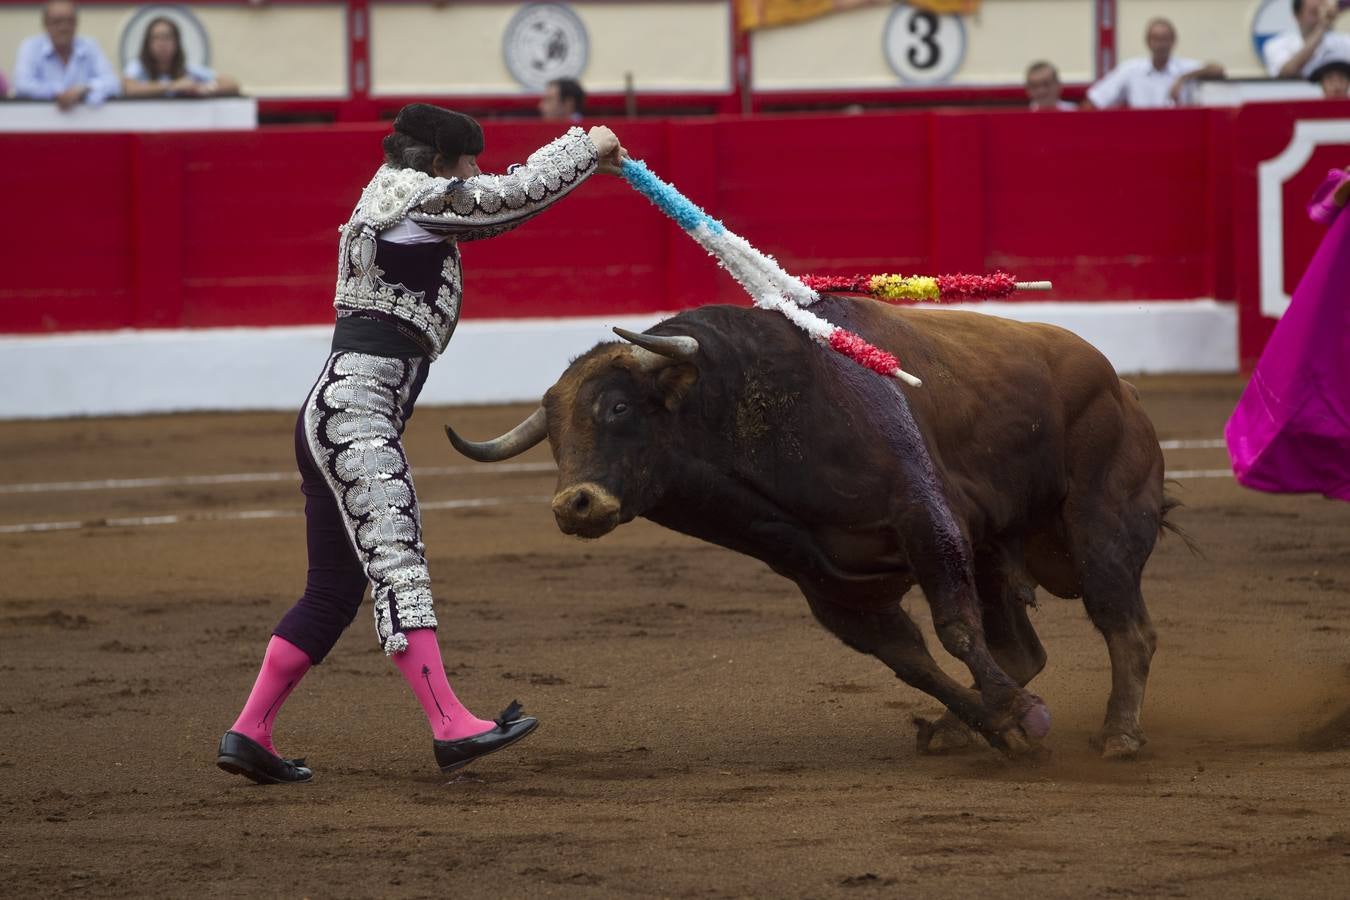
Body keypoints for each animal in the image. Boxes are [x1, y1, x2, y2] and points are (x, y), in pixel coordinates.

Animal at [442, 296, 1171, 761]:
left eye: (619, 407)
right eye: (554, 433)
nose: (576, 504)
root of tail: (1122, 385)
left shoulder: (926, 518)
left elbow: (955, 629)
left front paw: (1023, 716)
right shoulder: (830, 586)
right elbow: (912, 663)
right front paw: (996, 721)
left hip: (1098, 520)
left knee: (1125, 625)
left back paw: (1120, 736)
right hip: (997, 549)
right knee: (1025, 648)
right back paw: (959, 727)